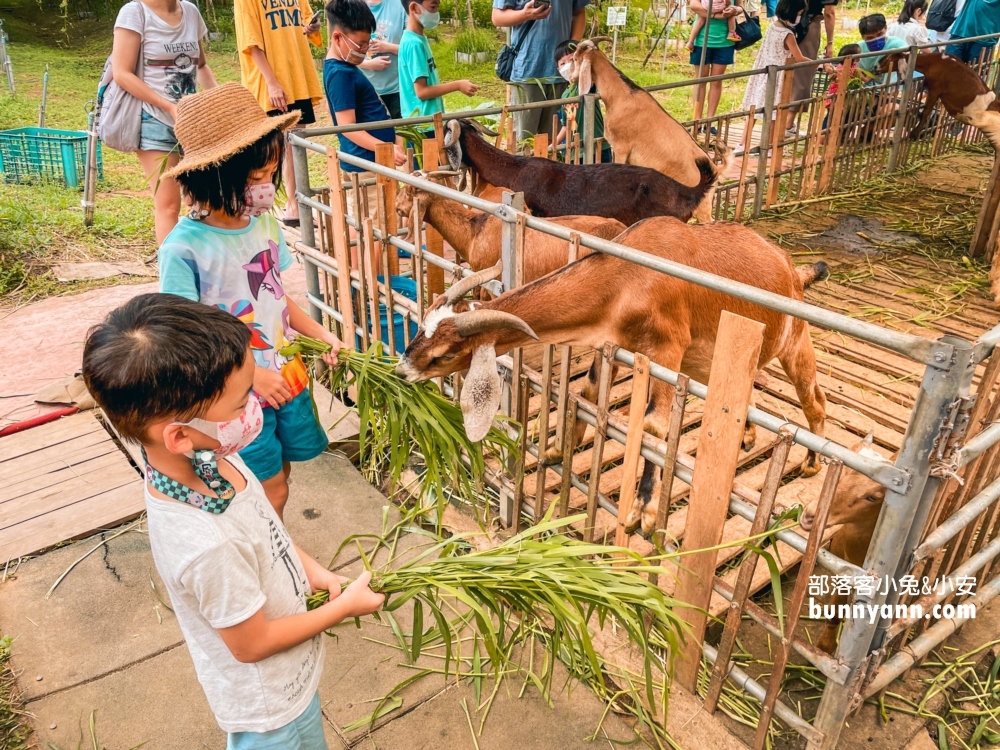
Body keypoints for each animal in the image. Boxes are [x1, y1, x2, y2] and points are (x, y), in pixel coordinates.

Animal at [398, 217, 828, 540]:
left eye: (444, 355)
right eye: (420, 329)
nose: (402, 371)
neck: (628, 275)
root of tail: (792, 267)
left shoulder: (667, 349)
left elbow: (654, 427)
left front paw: (645, 510)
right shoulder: (616, 345)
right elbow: (588, 392)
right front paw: (558, 448)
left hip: (795, 341)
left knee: (815, 400)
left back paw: (811, 464)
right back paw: (749, 437)